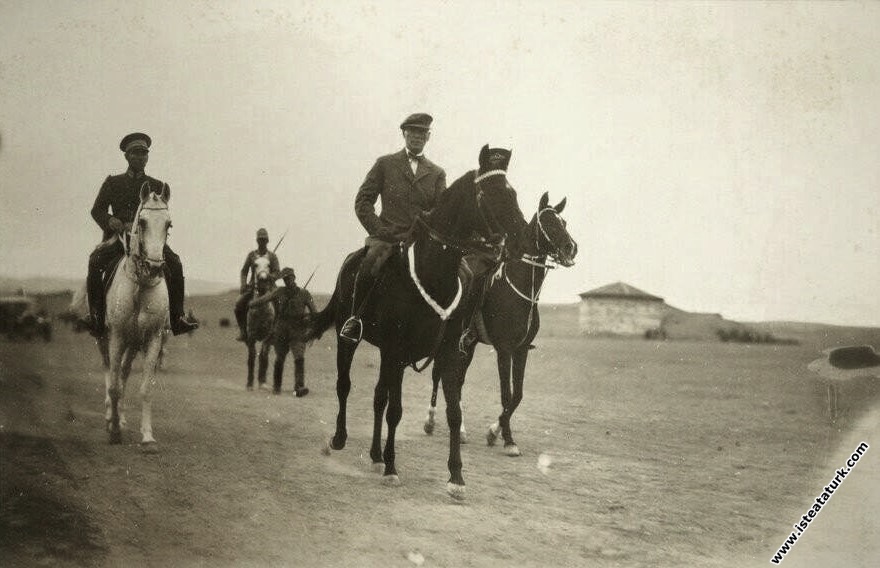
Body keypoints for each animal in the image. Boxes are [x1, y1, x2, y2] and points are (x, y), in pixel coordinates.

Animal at [102, 181, 172, 448]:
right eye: (141, 222)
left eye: (168, 224)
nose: (154, 266)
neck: (140, 285)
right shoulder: (116, 336)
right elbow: (113, 386)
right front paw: (113, 432)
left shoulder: (153, 338)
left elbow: (145, 388)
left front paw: (147, 436)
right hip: (105, 339)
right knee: (111, 374)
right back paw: (110, 417)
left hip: (133, 344)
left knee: (123, 374)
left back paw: (119, 418)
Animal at [306, 144, 524, 500]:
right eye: (491, 193)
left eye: (512, 192)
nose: (518, 239)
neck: (433, 274)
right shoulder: (397, 351)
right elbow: (395, 410)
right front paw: (393, 469)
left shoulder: (447, 354)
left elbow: (453, 413)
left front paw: (456, 477)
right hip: (347, 338)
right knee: (345, 385)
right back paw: (339, 439)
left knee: (378, 396)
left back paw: (376, 455)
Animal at [424, 191, 580, 458]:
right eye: (548, 223)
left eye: (565, 222)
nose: (571, 248)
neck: (518, 289)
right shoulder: (504, 350)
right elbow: (507, 395)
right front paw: (508, 440)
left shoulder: (521, 350)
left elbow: (517, 395)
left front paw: (494, 432)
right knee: (439, 374)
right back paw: (431, 420)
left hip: (469, 344)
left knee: (458, 381)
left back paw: (461, 430)